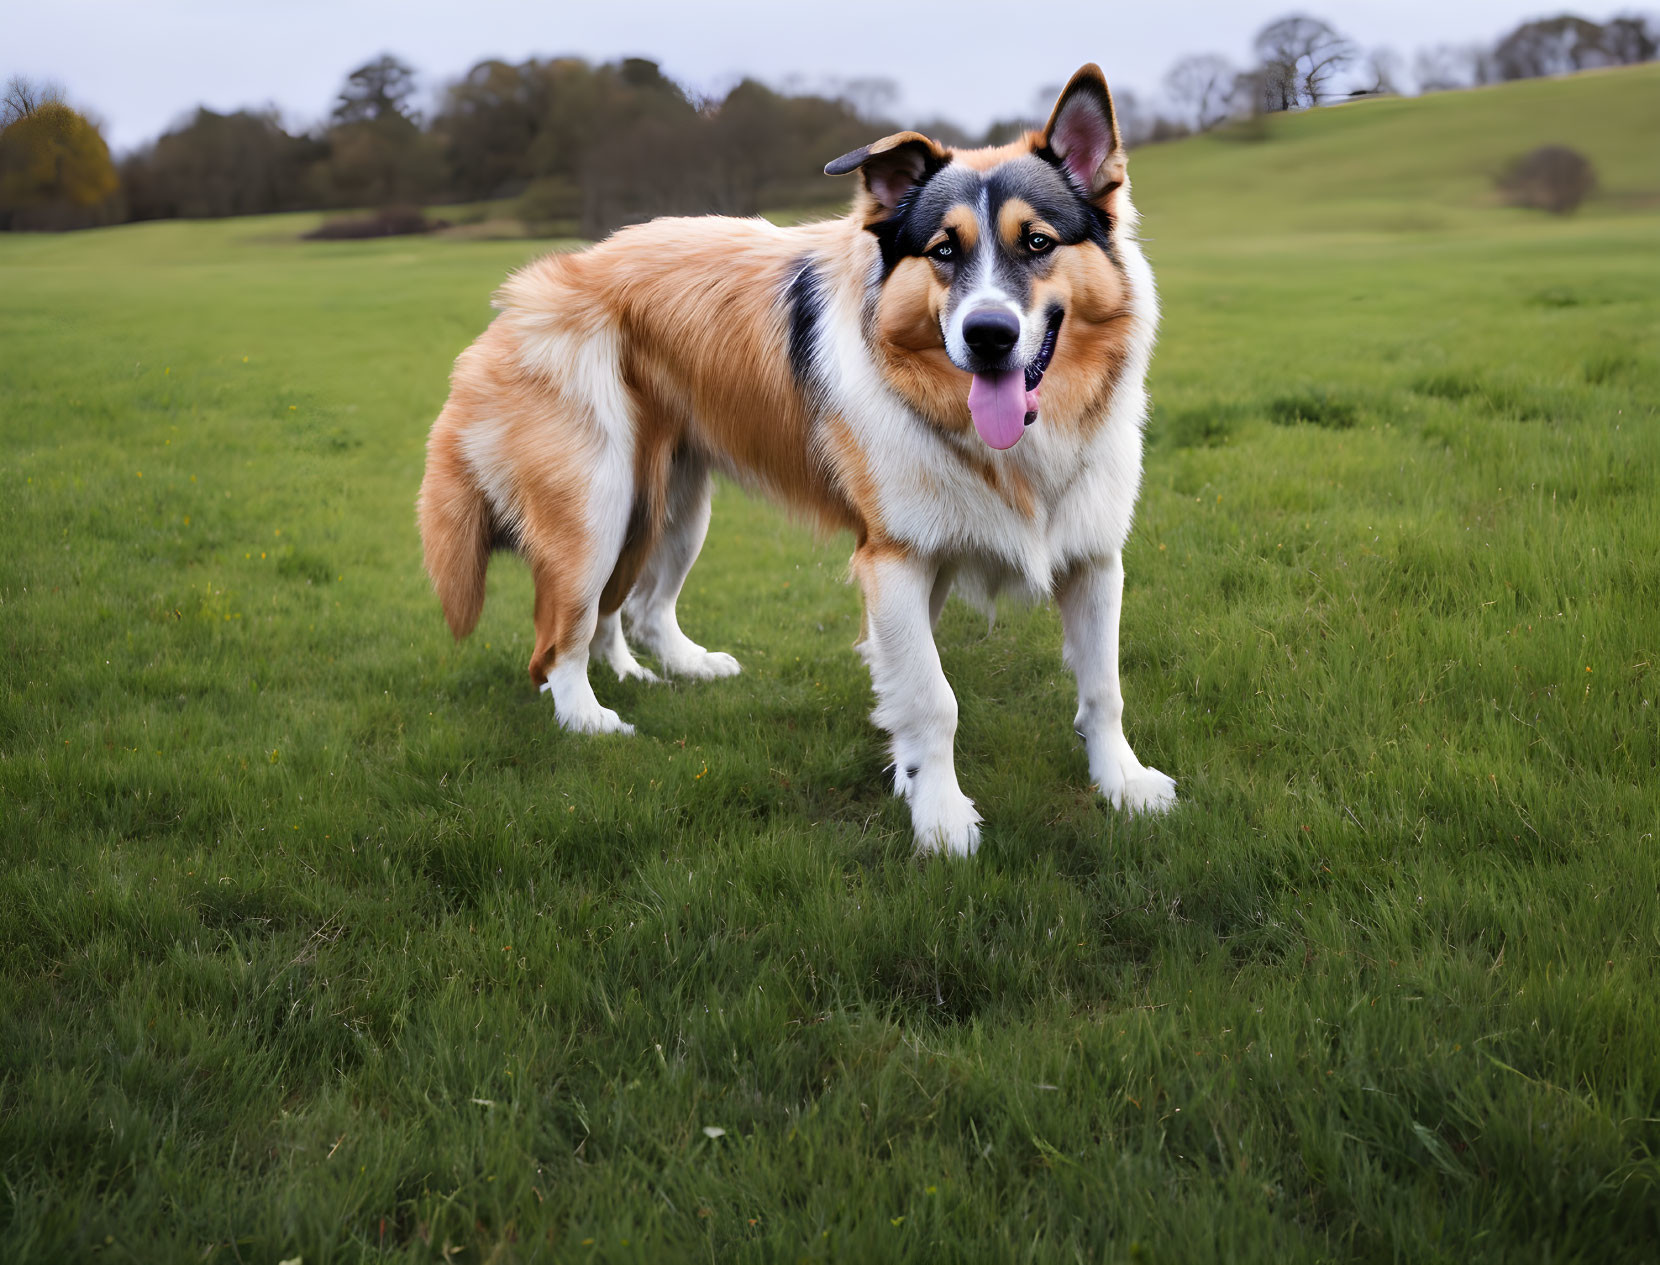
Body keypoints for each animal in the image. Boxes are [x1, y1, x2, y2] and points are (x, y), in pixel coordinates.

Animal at [421, 71, 1175, 856]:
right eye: (942, 250)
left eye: (1038, 242)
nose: (988, 335)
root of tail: (530, 293)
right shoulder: (896, 561)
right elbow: (932, 698)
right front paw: (940, 818)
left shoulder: (1091, 557)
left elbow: (1102, 688)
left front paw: (1122, 784)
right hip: (596, 509)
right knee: (558, 640)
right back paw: (588, 718)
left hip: (668, 511)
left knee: (635, 610)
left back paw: (670, 670)